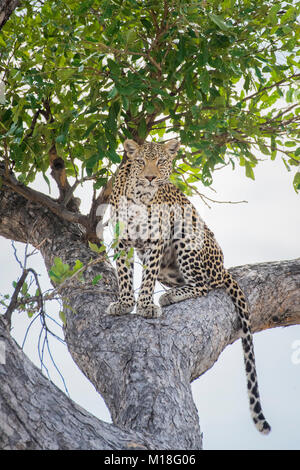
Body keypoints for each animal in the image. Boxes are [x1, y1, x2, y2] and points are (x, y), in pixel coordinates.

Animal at [106, 138, 270, 436]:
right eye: (141, 162)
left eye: (160, 162)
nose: (151, 177)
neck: (140, 197)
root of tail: (223, 266)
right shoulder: (122, 240)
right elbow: (124, 274)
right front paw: (124, 303)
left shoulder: (156, 239)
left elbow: (146, 278)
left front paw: (145, 305)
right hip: (170, 266)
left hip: (187, 234)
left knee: (204, 285)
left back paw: (169, 297)